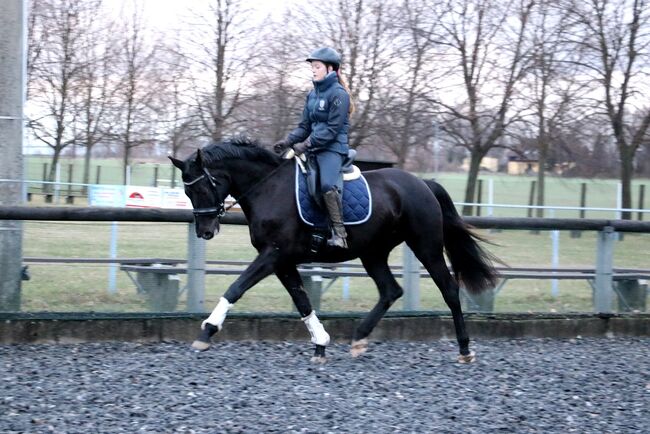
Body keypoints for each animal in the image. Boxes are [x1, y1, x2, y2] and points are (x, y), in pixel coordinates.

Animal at [170, 138, 494, 362]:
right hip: (373, 253)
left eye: (201, 188)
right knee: (391, 291)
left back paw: (465, 349)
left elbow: (236, 288)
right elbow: (302, 301)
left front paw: (207, 330)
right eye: (187, 191)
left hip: (426, 247)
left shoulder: (273, 254)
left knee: (449, 289)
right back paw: (359, 338)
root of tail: (423, 183)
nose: (205, 231)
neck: (267, 188)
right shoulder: (282, 261)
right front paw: (320, 344)